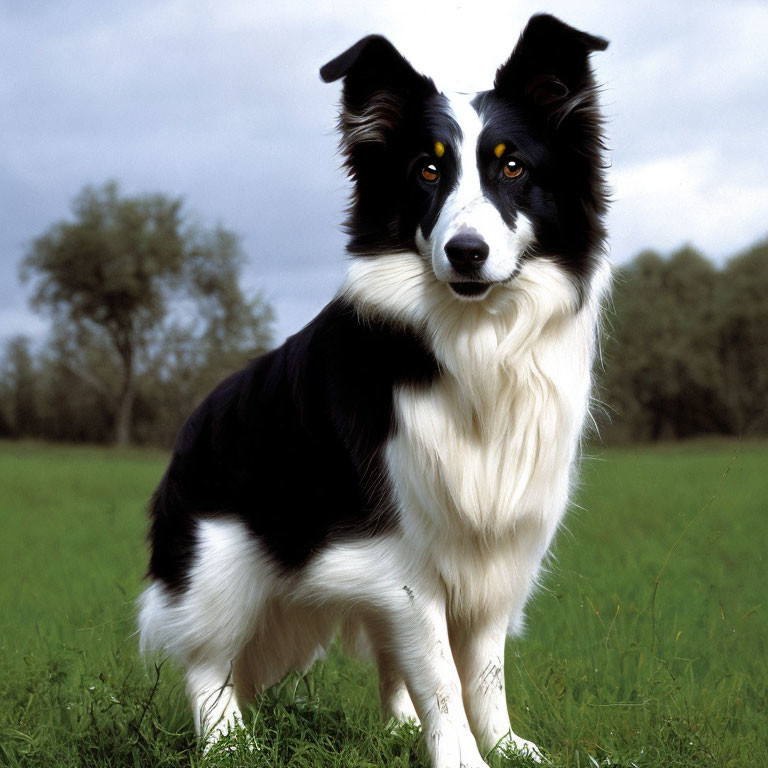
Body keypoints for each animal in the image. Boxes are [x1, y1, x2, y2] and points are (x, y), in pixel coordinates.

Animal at [136, 13, 608, 768]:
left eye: (513, 166)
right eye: (426, 169)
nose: (466, 253)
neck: (476, 335)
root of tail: (193, 423)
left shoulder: (496, 544)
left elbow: (482, 665)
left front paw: (504, 746)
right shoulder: (400, 553)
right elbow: (440, 670)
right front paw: (462, 759)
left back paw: (395, 731)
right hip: (216, 564)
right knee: (207, 659)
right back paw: (230, 743)